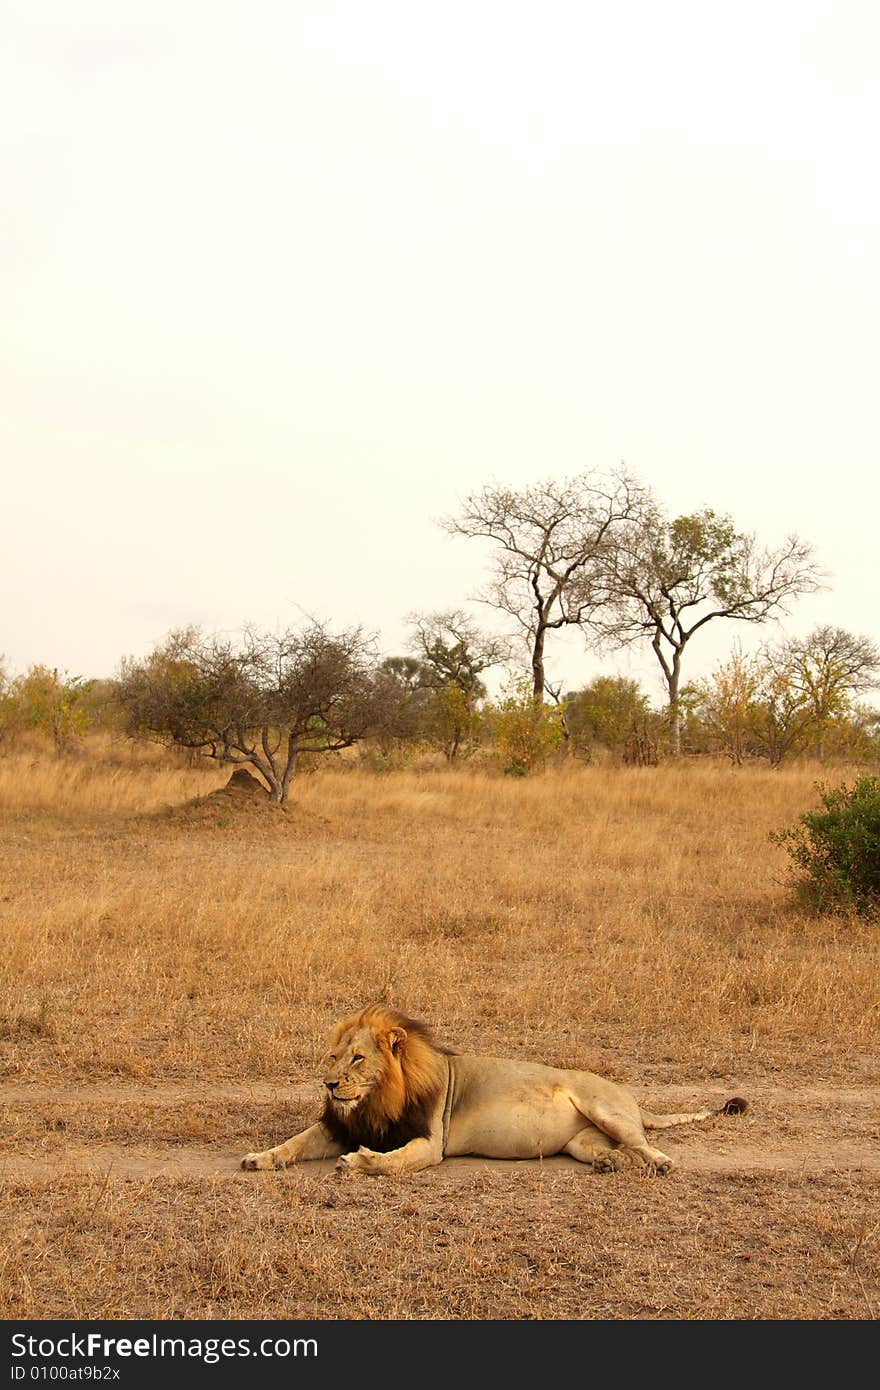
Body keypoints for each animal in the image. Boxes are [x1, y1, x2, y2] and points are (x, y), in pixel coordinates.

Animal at [240, 1006, 750, 1178]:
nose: (328, 1085)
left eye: (358, 1059)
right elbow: (293, 1143)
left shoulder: (430, 1142)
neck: (374, 1102)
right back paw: (609, 1163)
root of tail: (633, 1099)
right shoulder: (339, 1127)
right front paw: (259, 1158)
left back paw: (660, 1163)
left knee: (644, 1144)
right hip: (582, 1140)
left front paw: (361, 1162)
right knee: (611, 1149)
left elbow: (393, 1162)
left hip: (604, 1108)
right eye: (333, 1057)